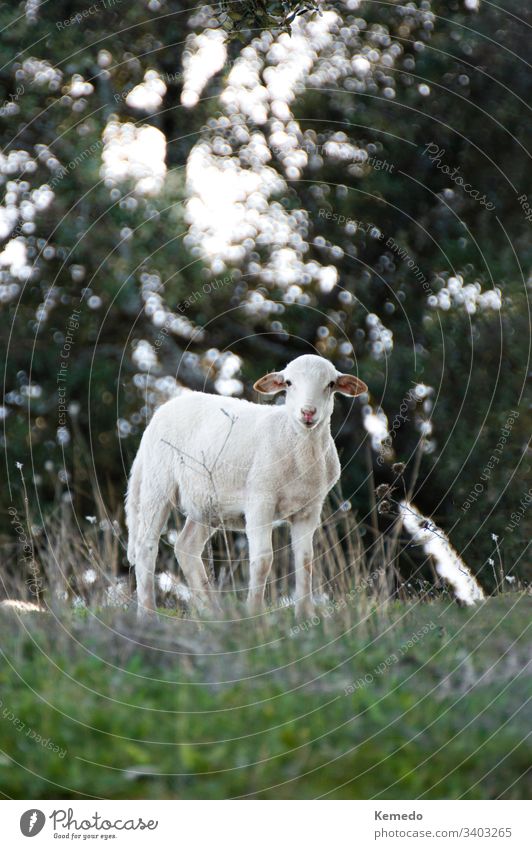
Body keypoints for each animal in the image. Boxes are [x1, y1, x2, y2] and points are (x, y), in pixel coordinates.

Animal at [124, 354, 366, 620]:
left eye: (331, 384)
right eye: (289, 383)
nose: (308, 412)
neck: (297, 446)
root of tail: (159, 413)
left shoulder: (309, 509)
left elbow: (306, 561)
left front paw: (305, 617)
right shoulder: (260, 500)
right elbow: (262, 561)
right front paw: (255, 614)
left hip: (206, 503)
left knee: (186, 547)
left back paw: (213, 613)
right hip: (157, 483)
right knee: (146, 546)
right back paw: (148, 614)